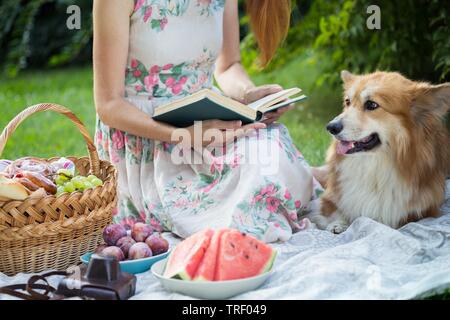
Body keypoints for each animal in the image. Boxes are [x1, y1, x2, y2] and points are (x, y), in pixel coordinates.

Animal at [312, 71, 450, 234]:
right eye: (347, 102)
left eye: (372, 104)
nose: (330, 127)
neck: (374, 165)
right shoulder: (331, 197)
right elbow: (334, 210)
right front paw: (338, 224)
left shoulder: (423, 211)